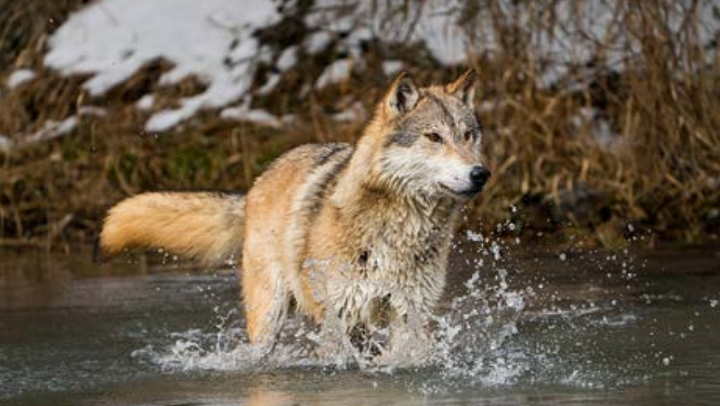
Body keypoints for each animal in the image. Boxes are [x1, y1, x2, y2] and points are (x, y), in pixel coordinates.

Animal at [99, 70, 491, 354]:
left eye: (467, 135)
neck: (396, 229)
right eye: (434, 137)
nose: (480, 173)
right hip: (269, 314)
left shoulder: (409, 314)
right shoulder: (340, 318)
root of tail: (256, 184)